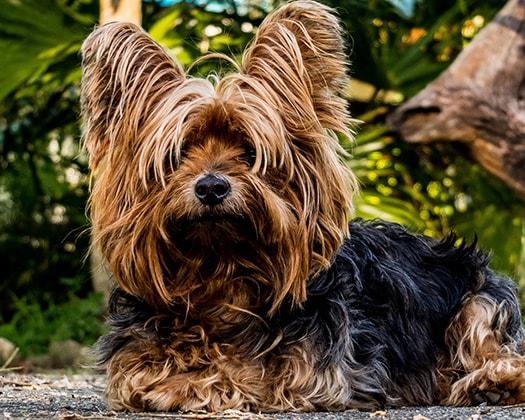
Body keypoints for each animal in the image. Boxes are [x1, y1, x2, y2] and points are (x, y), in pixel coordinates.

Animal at [80, 0, 524, 412]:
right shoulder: (132, 358)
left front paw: (192, 382)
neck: (220, 273)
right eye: (180, 154)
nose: (211, 187)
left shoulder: (315, 374)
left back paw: (491, 382)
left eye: (249, 151)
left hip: (481, 297)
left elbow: (245, 372)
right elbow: (138, 375)